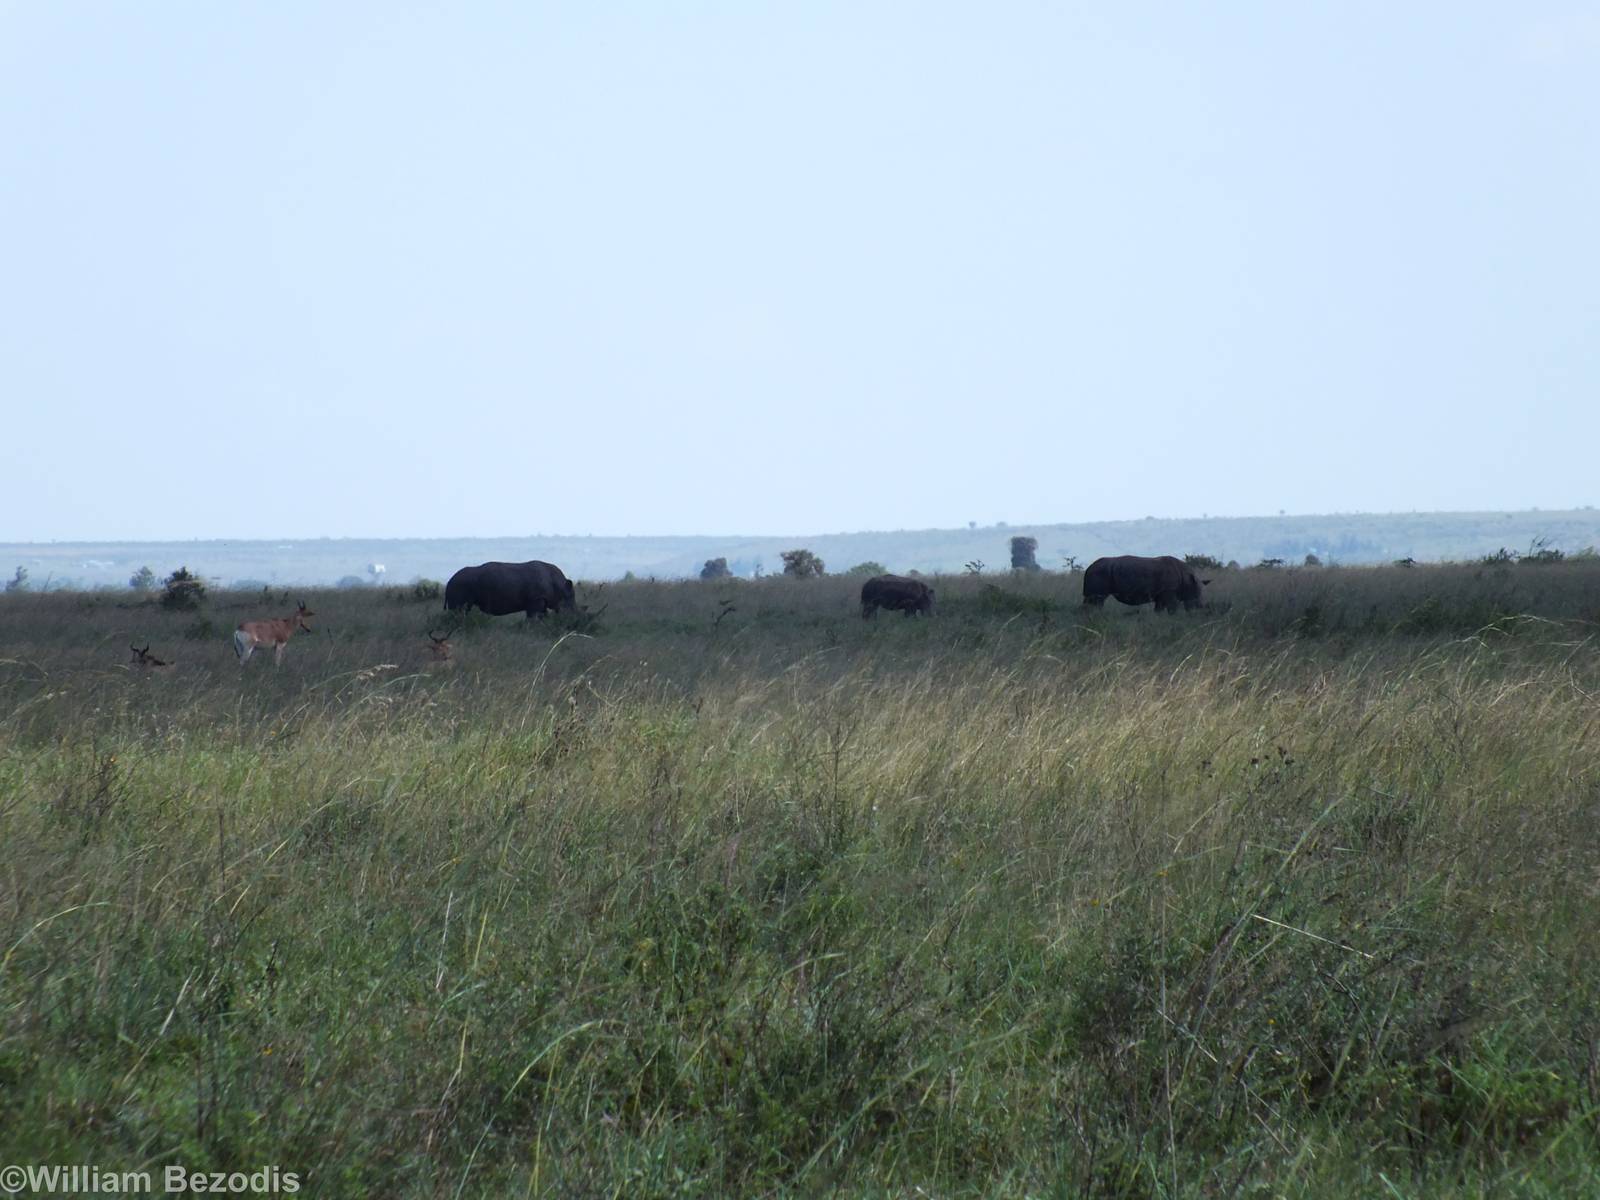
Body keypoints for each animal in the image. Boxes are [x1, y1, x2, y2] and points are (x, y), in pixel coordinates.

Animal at [444, 560, 576, 619]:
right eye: (570, 599)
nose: (573, 615)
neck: (560, 585)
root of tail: (449, 581)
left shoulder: (541, 600)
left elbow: (541, 616)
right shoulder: (536, 599)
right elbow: (533, 618)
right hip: (458, 584)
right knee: (458, 609)